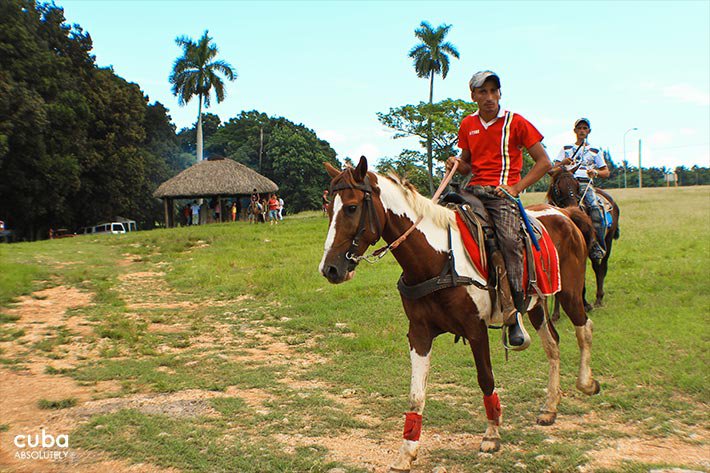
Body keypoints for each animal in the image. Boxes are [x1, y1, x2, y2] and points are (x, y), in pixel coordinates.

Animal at [322, 157, 600, 470]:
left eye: (351, 207)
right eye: (328, 207)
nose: (330, 269)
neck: (438, 258)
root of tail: (564, 213)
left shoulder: (476, 329)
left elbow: (486, 379)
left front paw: (492, 434)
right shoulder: (419, 333)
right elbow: (416, 394)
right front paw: (406, 452)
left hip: (570, 293)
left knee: (584, 329)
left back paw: (586, 383)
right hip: (536, 303)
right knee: (553, 343)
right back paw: (550, 406)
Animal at [548, 168, 620, 312]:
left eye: (576, 185)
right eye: (558, 188)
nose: (574, 207)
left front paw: (585, 304)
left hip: (607, 241)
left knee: (601, 268)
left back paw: (599, 298)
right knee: (597, 266)